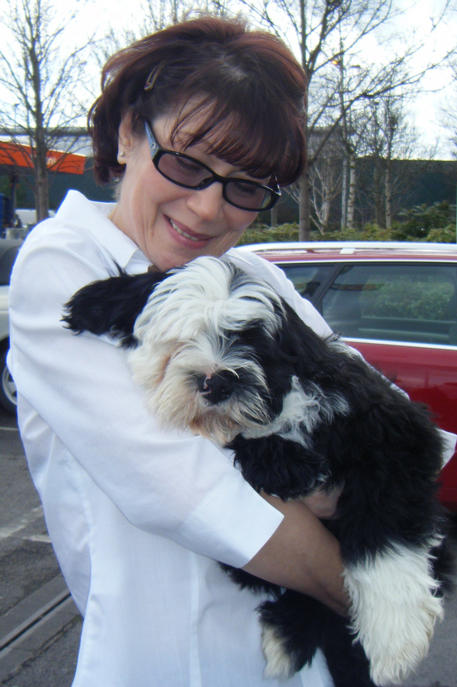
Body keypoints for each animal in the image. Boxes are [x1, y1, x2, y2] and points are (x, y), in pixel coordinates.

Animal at [63, 256, 452, 687]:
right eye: (178, 342)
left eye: (252, 343)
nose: (216, 381)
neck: (282, 407)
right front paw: (284, 464)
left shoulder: (394, 434)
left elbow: (383, 532)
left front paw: (394, 637)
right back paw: (288, 636)